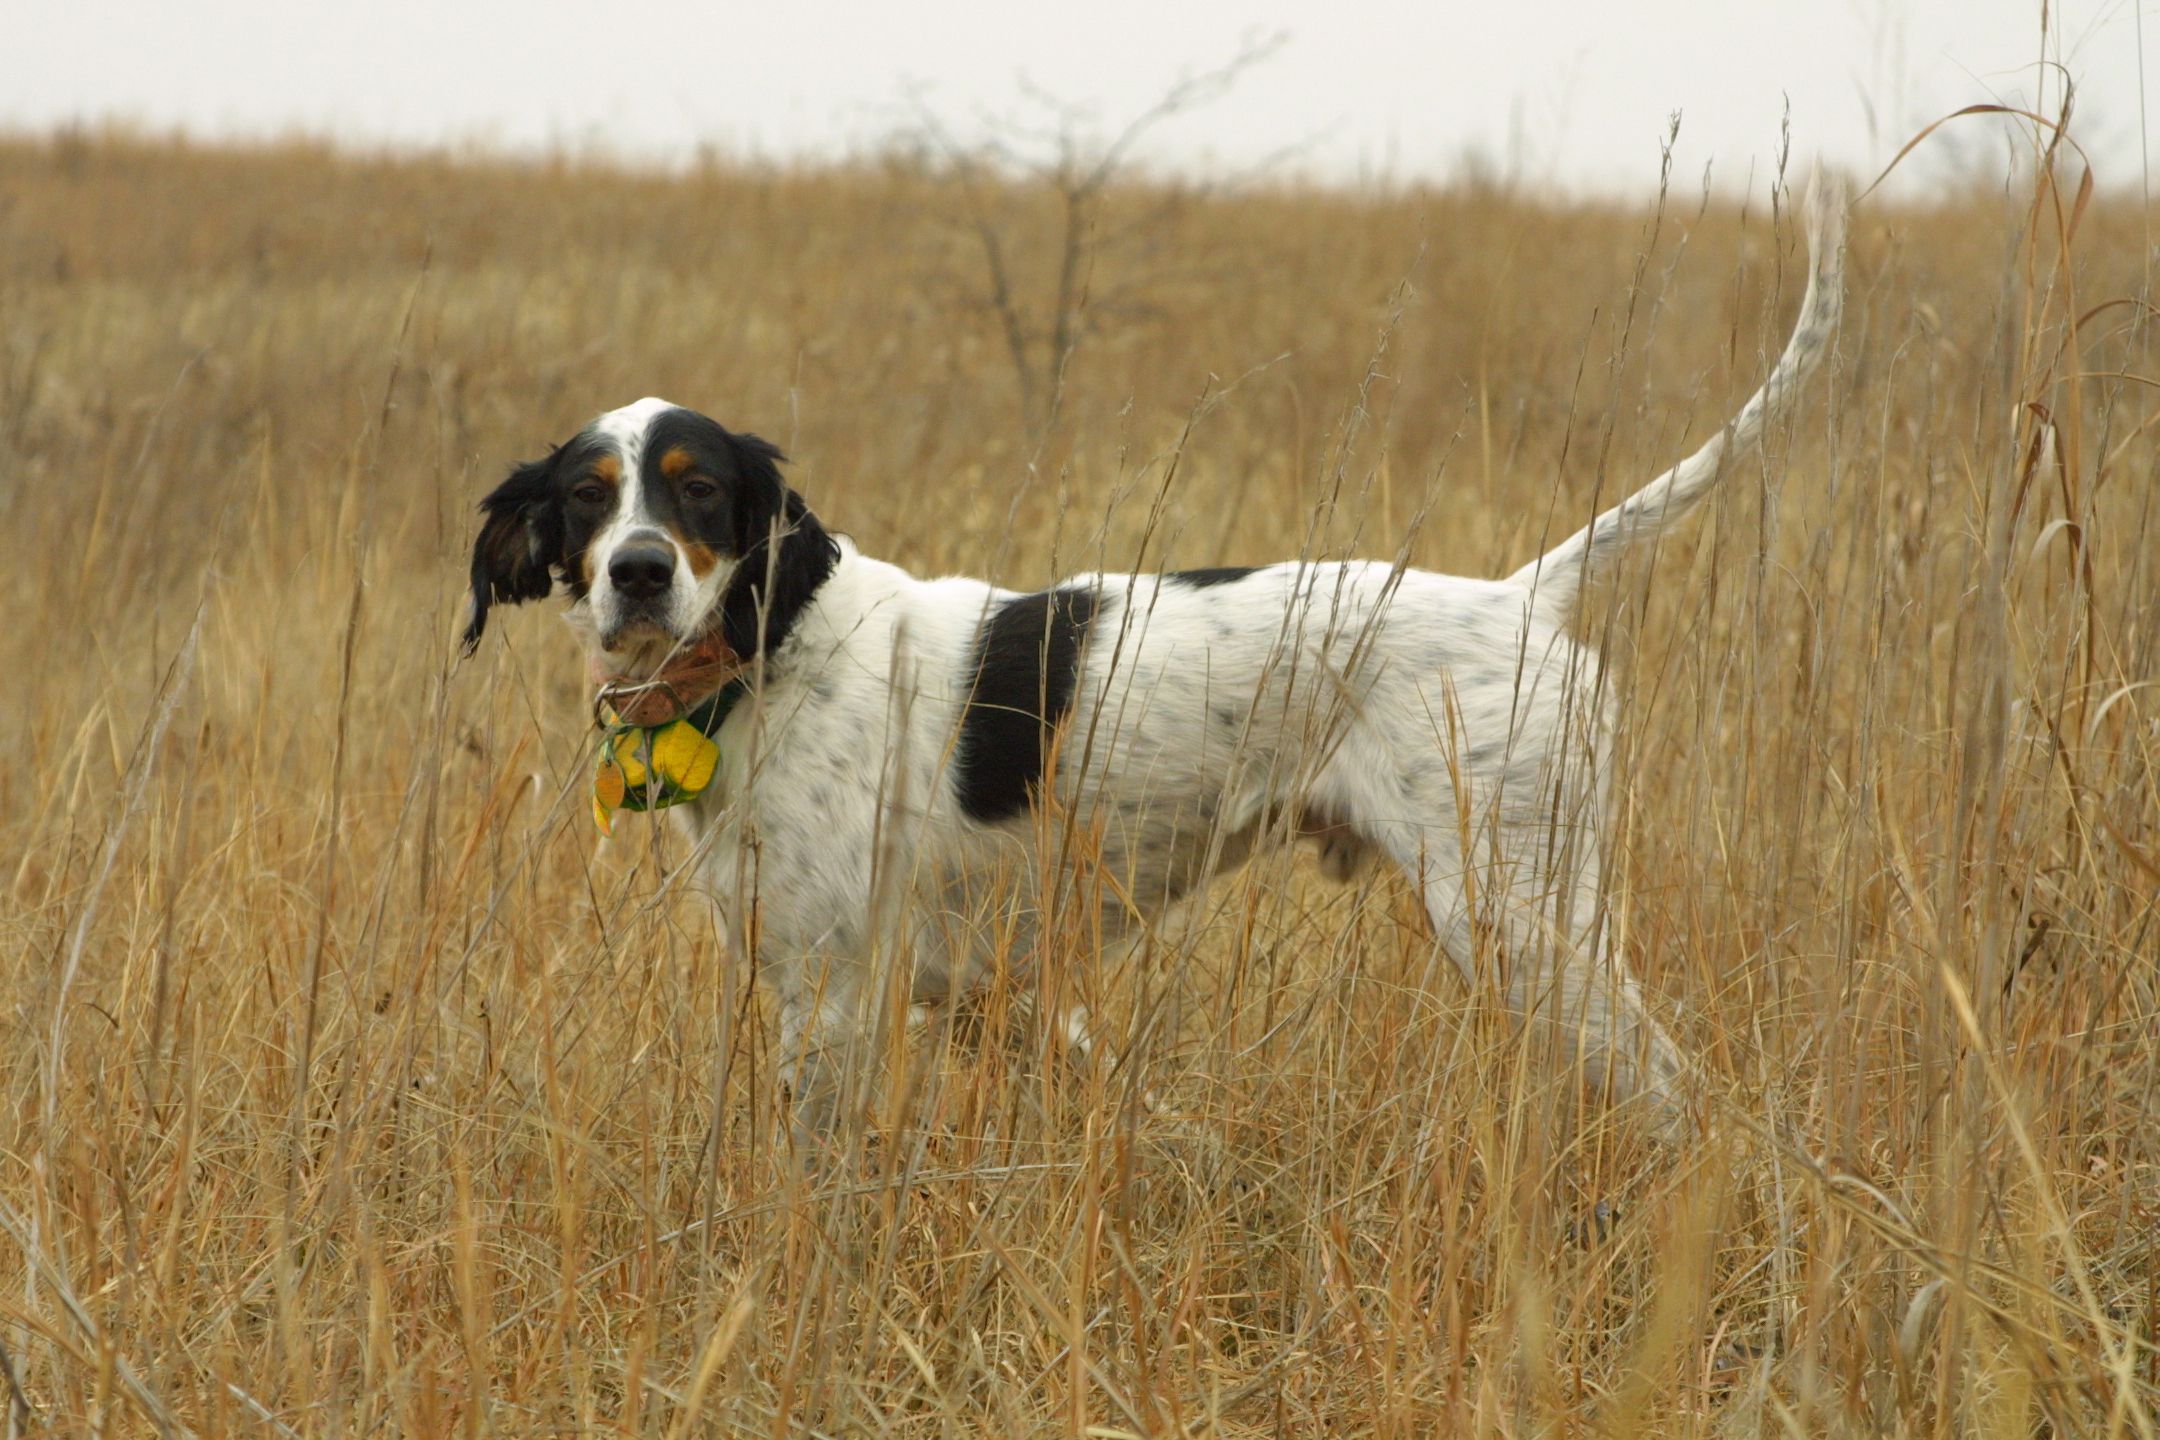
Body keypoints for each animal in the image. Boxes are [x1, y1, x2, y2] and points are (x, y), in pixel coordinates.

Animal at [468, 177, 1840, 1139]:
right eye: (587, 498)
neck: (772, 655)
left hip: (1523, 922)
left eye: (698, 491)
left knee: (1686, 1108)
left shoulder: (835, 994)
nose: (639, 571)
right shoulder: (990, 997)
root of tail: (1519, 595)